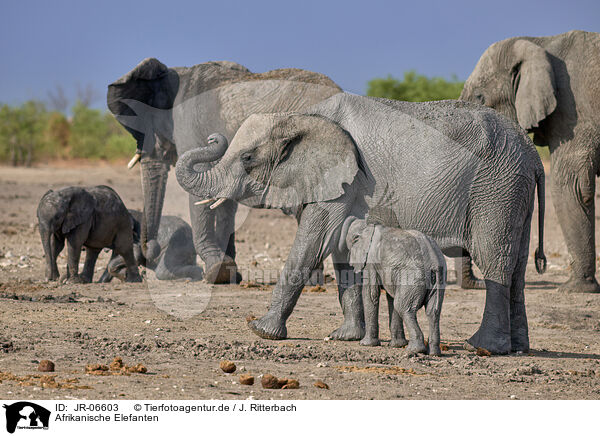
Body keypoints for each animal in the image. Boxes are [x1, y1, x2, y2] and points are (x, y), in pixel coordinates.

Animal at [342, 216, 446, 356]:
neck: (370, 226)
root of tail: (433, 260)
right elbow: (391, 297)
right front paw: (396, 345)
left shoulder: (371, 262)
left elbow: (371, 294)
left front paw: (365, 344)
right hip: (438, 278)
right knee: (432, 311)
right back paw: (434, 353)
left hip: (412, 277)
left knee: (404, 307)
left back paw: (414, 350)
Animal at [462, 29, 596, 292]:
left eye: (480, 98)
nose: (477, 284)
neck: (540, 42)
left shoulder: (573, 112)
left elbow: (572, 187)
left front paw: (574, 289)